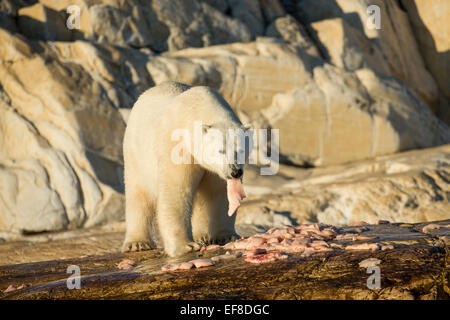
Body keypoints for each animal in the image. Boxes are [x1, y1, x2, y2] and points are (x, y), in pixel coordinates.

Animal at [121, 81, 250, 256]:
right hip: (136, 154)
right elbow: (177, 191)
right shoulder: (178, 147)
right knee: (138, 194)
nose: (235, 172)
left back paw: (202, 234)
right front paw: (186, 245)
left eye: (241, 150)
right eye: (220, 151)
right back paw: (137, 243)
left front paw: (227, 236)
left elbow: (218, 193)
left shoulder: (214, 170)